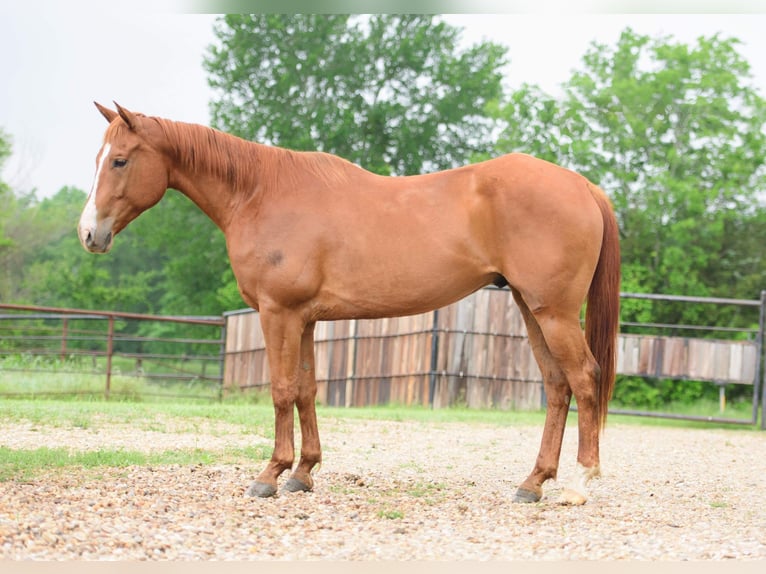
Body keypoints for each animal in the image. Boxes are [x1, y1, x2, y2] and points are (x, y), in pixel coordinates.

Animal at [81, 104, 620, 508]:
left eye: (120, 160)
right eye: (99, 158)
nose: (89, 234)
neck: (260, 193)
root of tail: (583, 185)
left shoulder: (278, 313)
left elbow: (281, 391)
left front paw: (269, 475)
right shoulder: (304, 319)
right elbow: (306, 390)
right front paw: (303, 473)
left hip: (553, 313)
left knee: (584, 379)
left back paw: (579, 483)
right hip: (532, 308)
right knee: (557, 386)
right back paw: (533, 483)